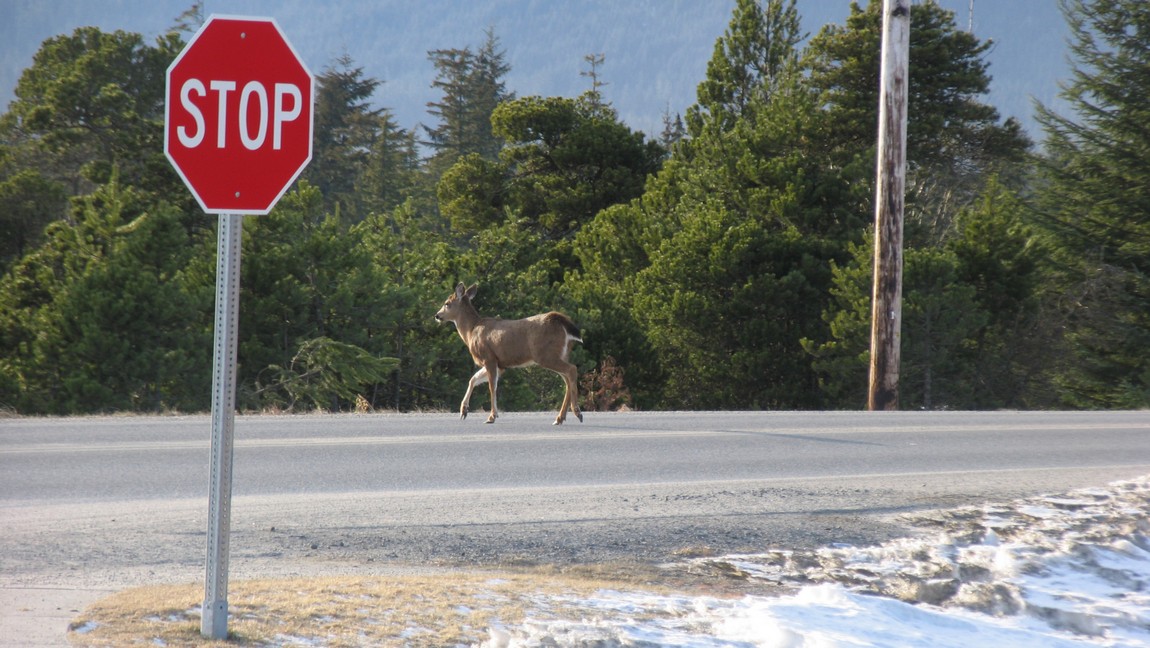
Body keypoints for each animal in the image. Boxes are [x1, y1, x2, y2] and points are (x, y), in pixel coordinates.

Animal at [434, 282, 584, 425]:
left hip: (545, 354)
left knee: (572, 369)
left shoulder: (489, 357)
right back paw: (560, 418)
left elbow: (492, 387)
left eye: (447, 303)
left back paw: (577, 411)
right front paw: (463, 411)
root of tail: (562, 324)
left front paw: (492, 416)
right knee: (567, 379)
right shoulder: (500, 364)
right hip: (560, 354)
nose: (437, 315)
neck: (471, 331)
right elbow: (473, 379)